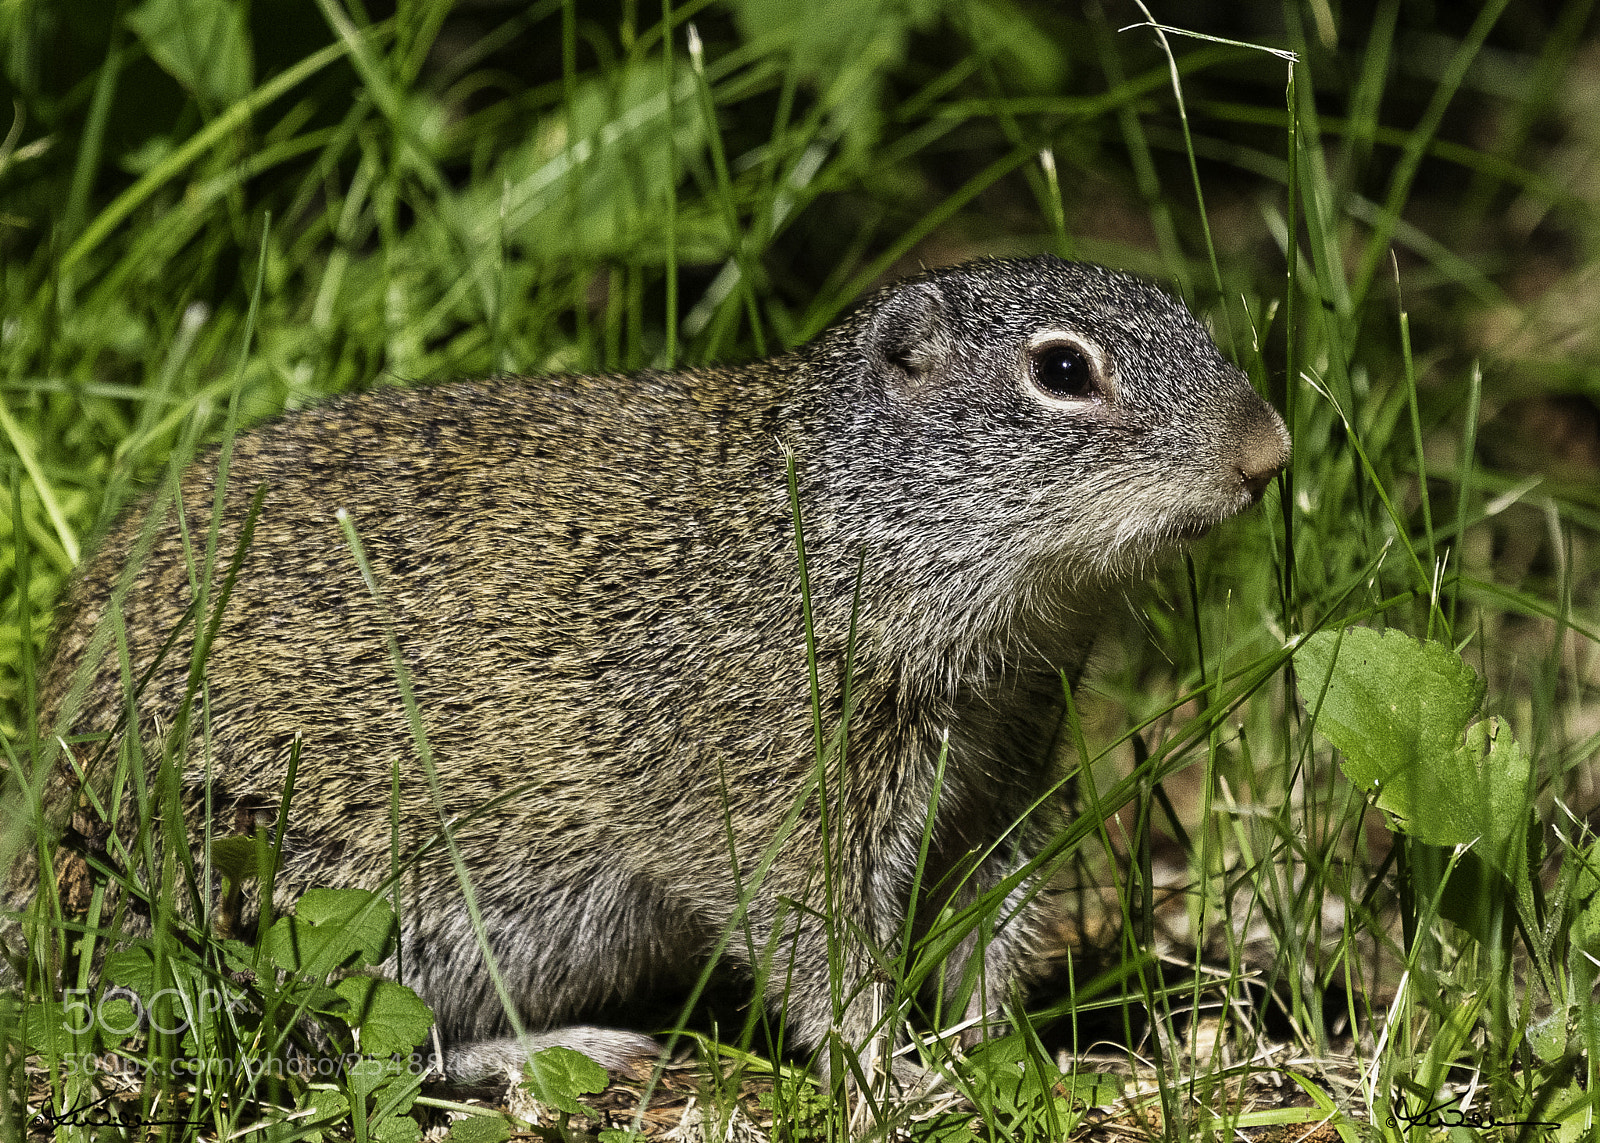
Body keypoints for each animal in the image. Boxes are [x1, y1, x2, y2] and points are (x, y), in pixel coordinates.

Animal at [16, 254, 1289, 1091]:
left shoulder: (1002, 780)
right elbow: (824, 954)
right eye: (1063, 370)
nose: (1270, 452)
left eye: (1189, 319)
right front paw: (895, 1077)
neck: (843, 532)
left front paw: (1010, 1059)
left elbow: (997, 925)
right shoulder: (780, 803)